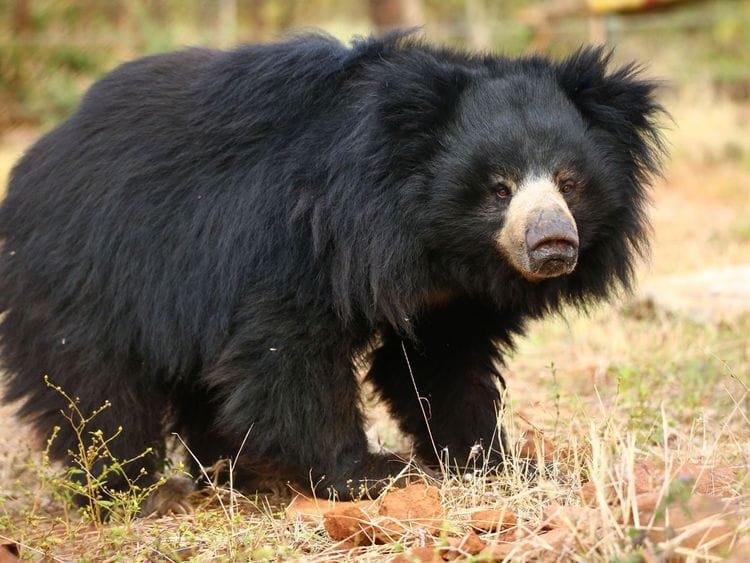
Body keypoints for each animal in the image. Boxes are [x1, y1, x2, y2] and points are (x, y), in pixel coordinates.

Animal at [0, 32, 664, 512]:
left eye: (570, 183)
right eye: (497, 188)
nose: (553, 243)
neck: (426, 237)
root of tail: (36, 161)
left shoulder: (450, 299)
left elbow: (440, 367)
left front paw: (499, 463)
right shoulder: (298, 242)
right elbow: (289, 353)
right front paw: (369, 474)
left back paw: (231, 475)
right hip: (86, 279)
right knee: (96, 392)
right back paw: (129, 491)